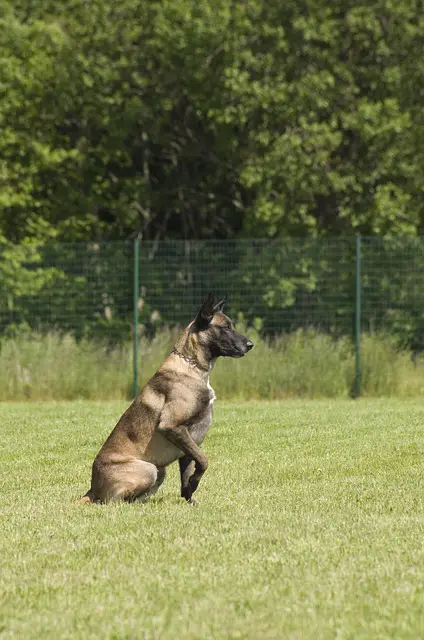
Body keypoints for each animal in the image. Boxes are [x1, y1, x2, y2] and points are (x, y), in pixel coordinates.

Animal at [78, 294, 253, 504]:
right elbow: (203, 460)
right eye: (225, 327)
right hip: (149, 469)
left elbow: (187, 474)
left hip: (159, 471)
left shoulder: (188, 442)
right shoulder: (172, 427)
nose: (250, 345)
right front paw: (195, 483)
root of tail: (92, 489)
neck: (192, 366)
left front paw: (189, 497)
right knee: (112, 501)